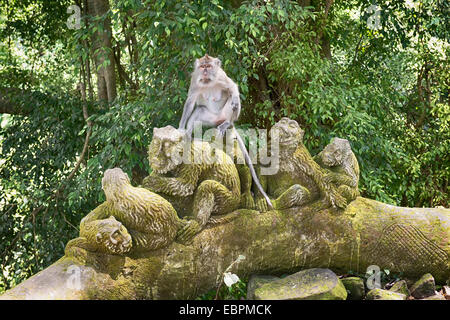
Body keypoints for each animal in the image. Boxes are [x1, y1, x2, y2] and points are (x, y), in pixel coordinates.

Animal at [178, 54, 272, 210]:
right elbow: (190, 103)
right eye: (202, 66)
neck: (208, 82)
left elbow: (232, 87)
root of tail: (219, 120)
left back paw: (228, 122)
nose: (205, 72)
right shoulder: (195, 79)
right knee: (199, 110)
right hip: (210, 118)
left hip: (225, 114)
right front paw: (181, 128)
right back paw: (189, 134)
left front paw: (234, 96)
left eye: (209, 66)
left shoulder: (221, 76)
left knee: (233, 102)